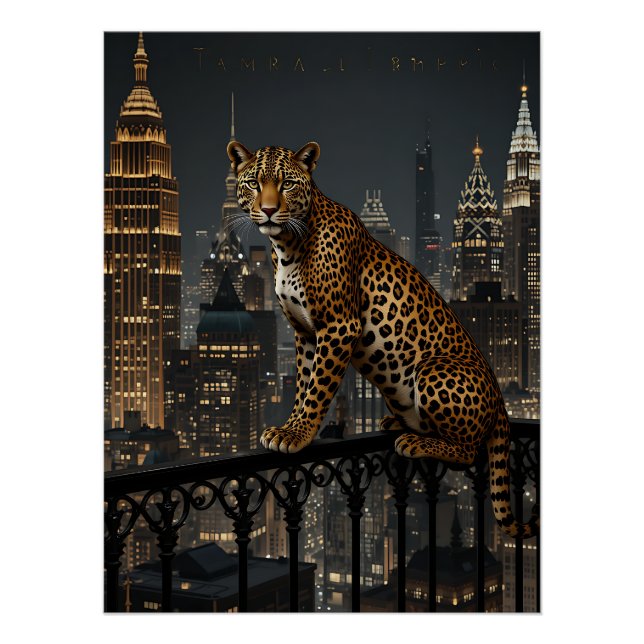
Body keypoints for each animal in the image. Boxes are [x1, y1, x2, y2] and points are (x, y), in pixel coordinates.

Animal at [227, 140, 539, 539]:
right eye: (253, 183)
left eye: (287, 184)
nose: (267, 210)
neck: (288, 244)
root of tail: (501, 399)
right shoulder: (305, 332)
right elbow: (302, 384)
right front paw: (290, 426)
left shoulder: (338, 326)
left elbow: (318, 388)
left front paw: (298, 434)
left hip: (435, 371)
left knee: (469, 449)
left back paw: (416, 441)